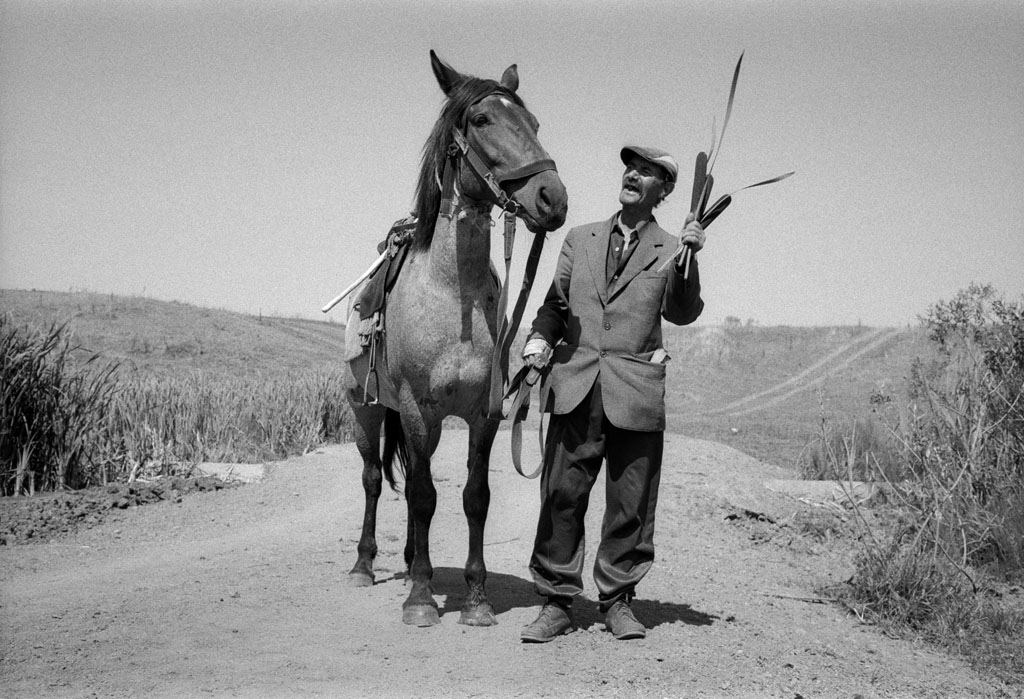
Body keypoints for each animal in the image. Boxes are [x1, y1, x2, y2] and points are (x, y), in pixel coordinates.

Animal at [341, 50, 568, 627]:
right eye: (483, 119)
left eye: (534, 124)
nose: (552, 198)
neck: (452, 297)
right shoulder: (417, 409)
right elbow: (423, 497)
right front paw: (421, 599)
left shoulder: (481, 414)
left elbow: (473, 497)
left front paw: (476, 598)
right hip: (366, 410)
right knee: (374, 479)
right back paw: (365, 565)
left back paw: (407, 560)